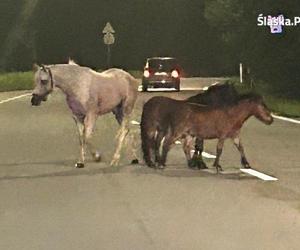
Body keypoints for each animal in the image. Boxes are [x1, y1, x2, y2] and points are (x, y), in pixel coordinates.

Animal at [141, 92, 272, 172]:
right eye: (262, 105)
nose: (271, 120)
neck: (232, 114)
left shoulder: (235, 135)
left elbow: (241, 148)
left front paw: (246, 164)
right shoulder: (222, 135)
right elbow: (219, 150)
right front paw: (217, 166)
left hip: (188, 134)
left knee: (185, 147)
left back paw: (190, 164)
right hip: (176, 131)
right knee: (166, 143)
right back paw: (161, 163)